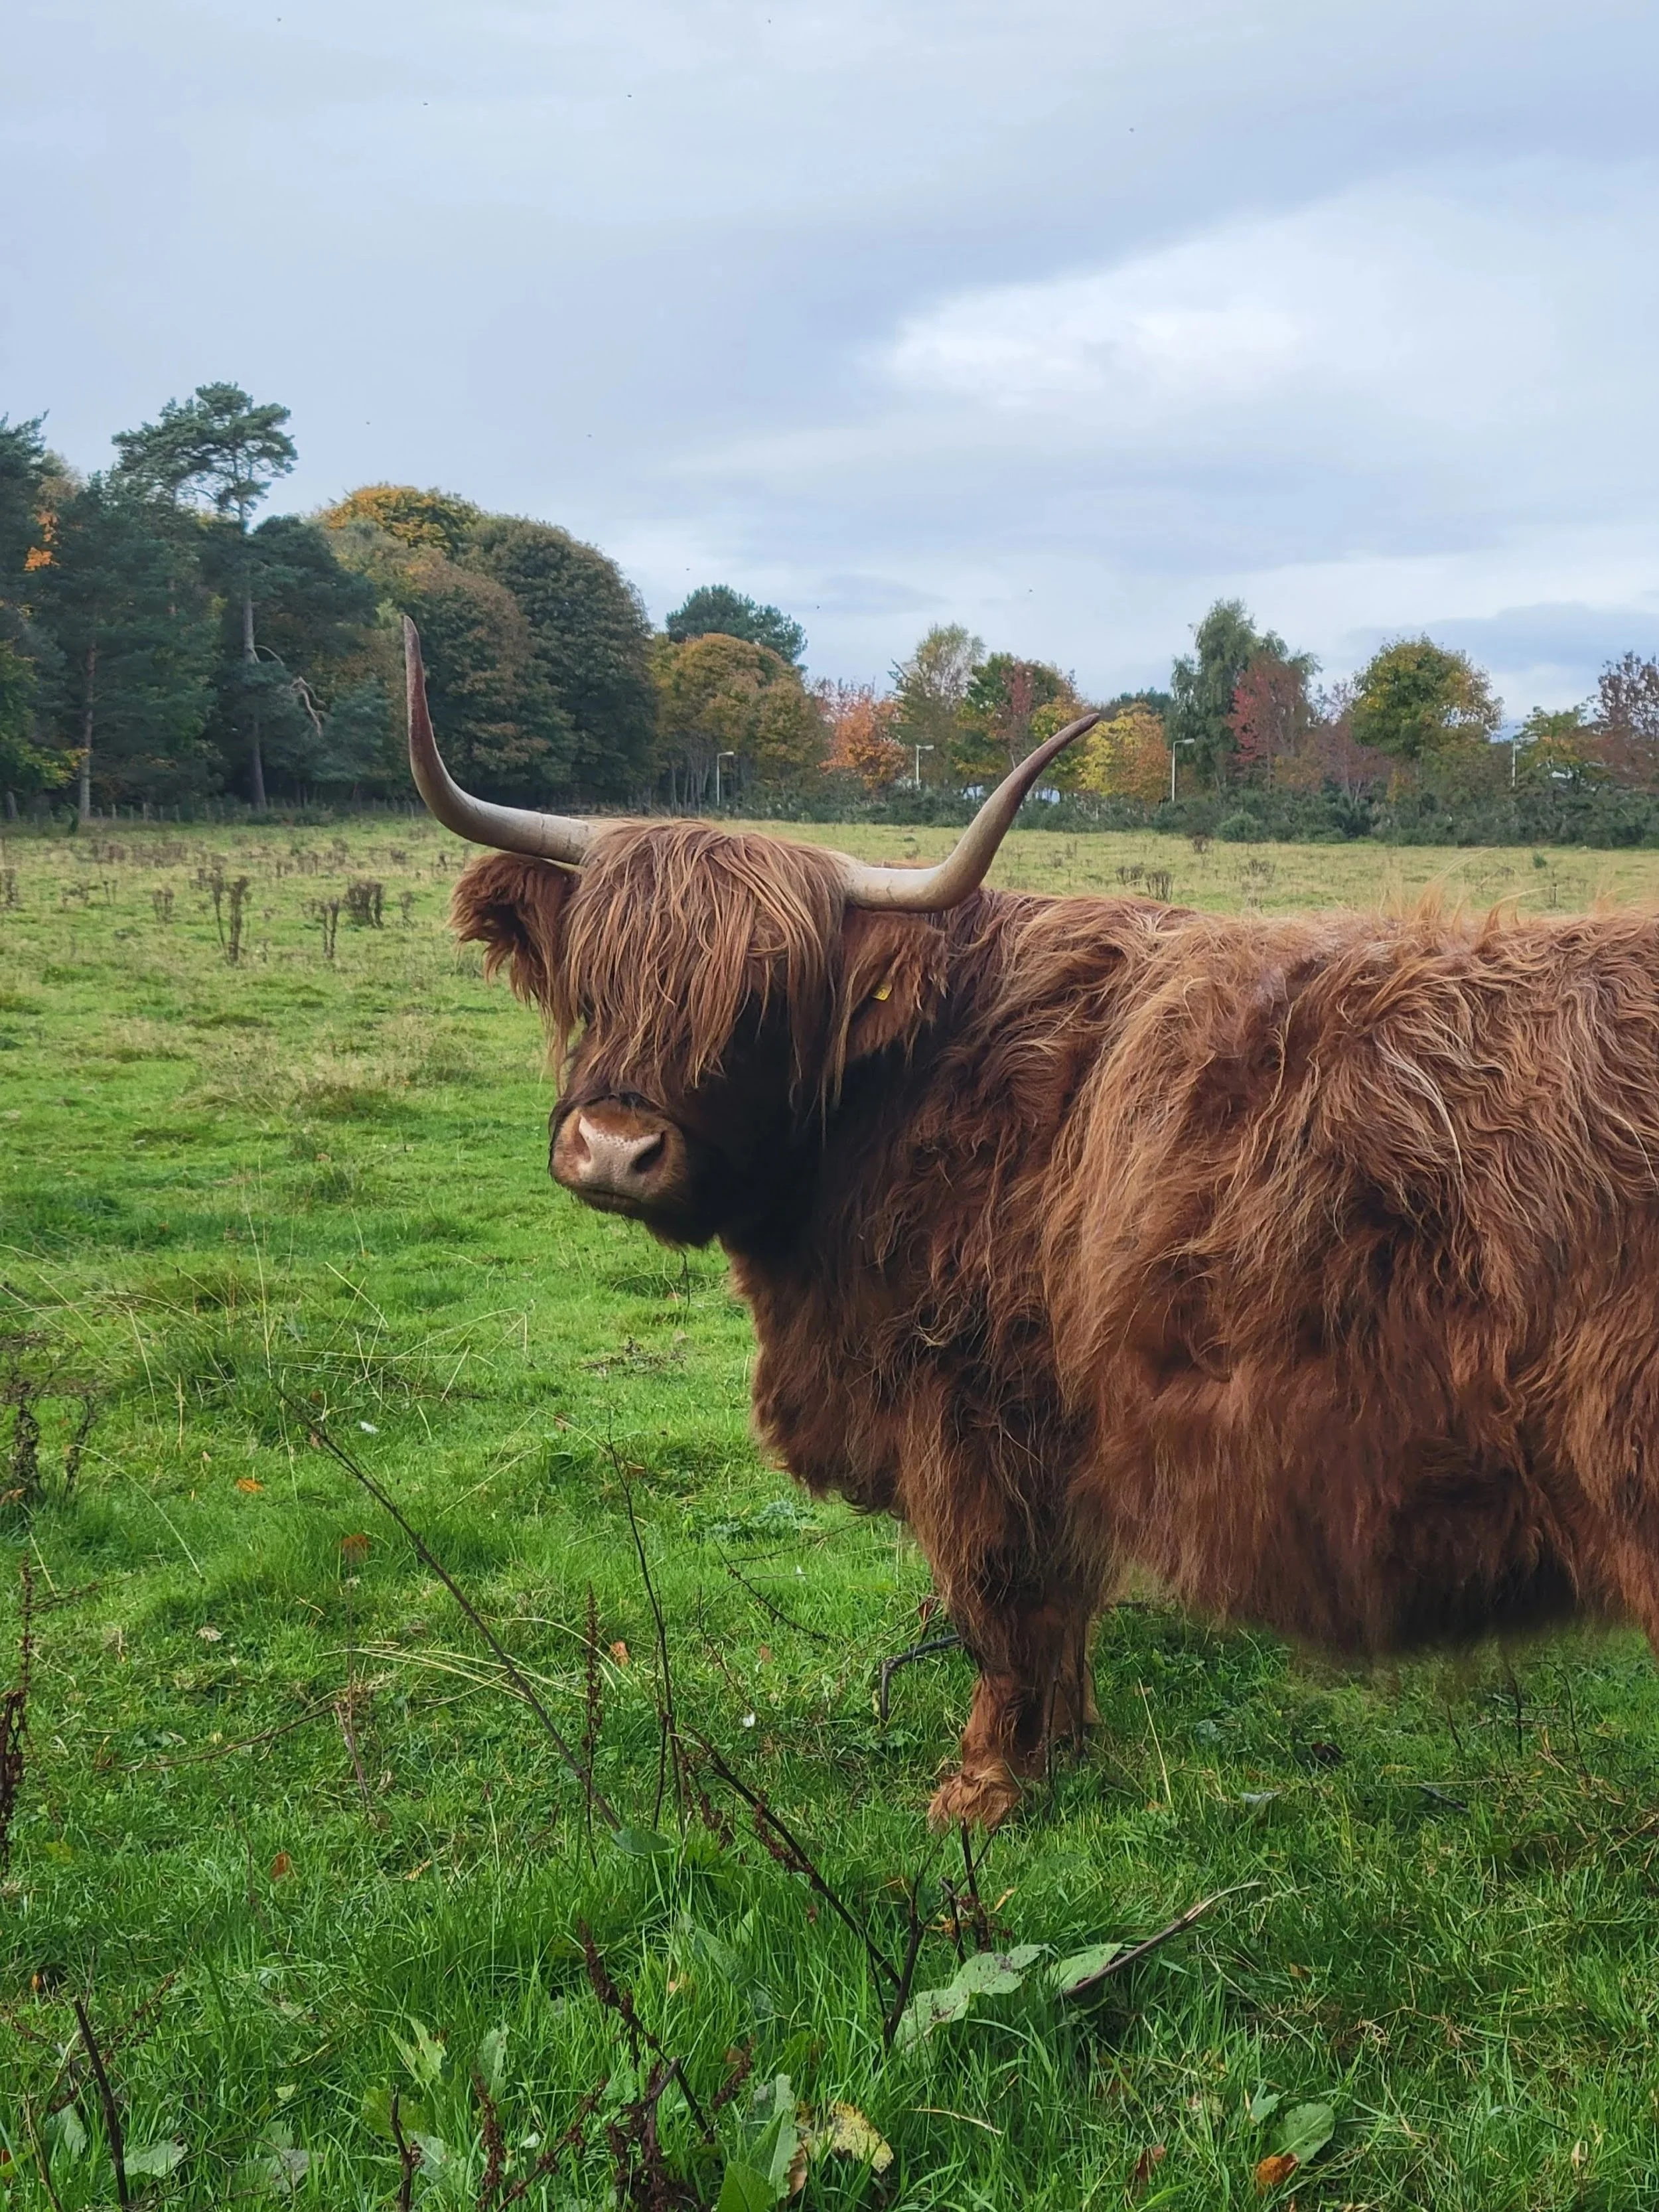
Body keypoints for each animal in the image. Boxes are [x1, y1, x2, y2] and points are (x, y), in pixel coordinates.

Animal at [404, 619, 1659, 1829]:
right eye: (594, 980)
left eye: (762, 1002)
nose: (616, 1146)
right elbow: (1063, 1615)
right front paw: (1072, 1745)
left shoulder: (976, 1415)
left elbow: (1003, 1608)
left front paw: (980, 1788)